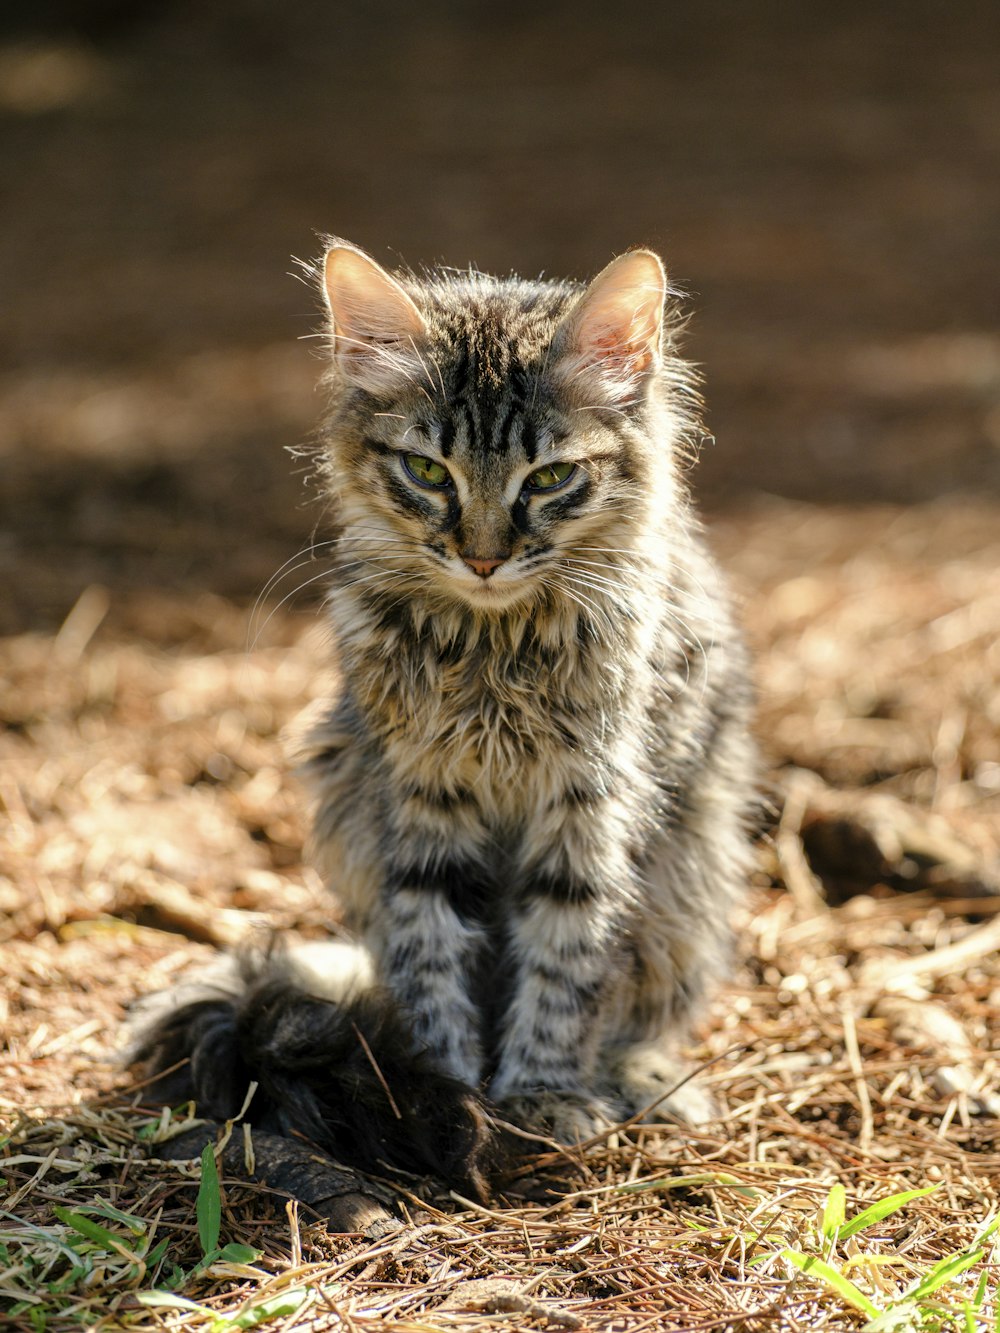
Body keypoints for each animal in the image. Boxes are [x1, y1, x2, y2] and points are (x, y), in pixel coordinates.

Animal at [131, 242, 757, 1210]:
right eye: (429, 473)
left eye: (550, 478)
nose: (485, 556)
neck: (493, 649)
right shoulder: (419, 801)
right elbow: (432, 964)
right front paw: (446, 1088)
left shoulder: (592, 805)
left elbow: (567, 962)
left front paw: (540, 1095)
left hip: (693, 870)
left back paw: (644, 1080)